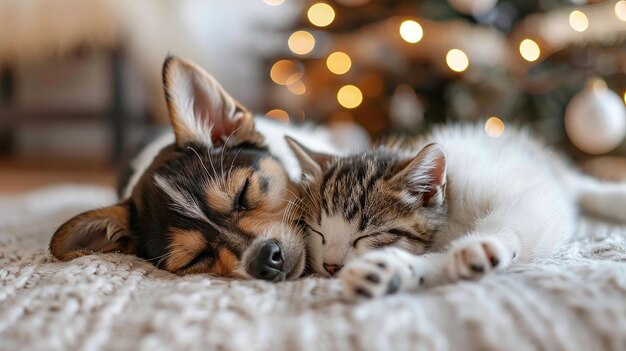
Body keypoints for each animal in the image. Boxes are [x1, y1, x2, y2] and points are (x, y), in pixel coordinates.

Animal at [286, 124, 624, 300]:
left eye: (368, 235)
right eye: (318, 232)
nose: (330, 266)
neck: (449, 220)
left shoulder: (526, 195)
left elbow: (517, 214)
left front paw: (480, 245)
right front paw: (395, 271)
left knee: (583, 188)